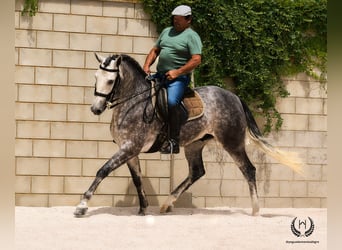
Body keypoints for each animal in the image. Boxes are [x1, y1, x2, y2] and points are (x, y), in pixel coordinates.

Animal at [75, 54, 302, 217]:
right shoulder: (129, 150)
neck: (134, 103)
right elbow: (137, 179)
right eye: (95, 77)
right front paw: (143, 209)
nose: (95, 109)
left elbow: (103, 170)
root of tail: (235, 97)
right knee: (197, 172)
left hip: (232, 143)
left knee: (249, 169)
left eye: (110, 80)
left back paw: (255, 210)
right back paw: (167, 204)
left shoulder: (130, 146)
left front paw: (82, 205)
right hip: (194, 145)